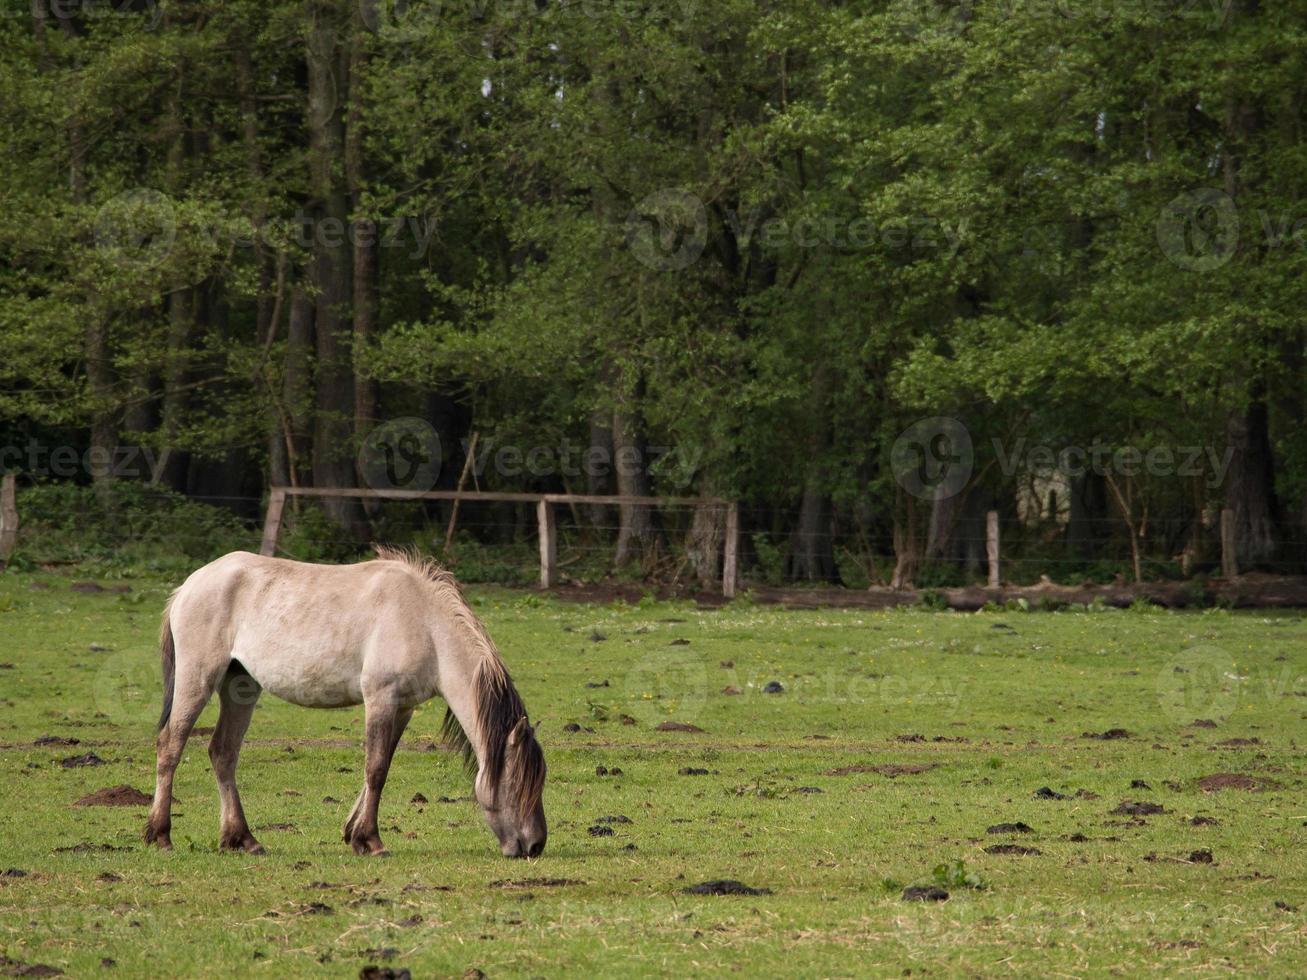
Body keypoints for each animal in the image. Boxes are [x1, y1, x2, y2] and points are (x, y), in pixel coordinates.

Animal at [143, 554, 546, 857]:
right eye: (519, 782)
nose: (535, 845)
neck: (426, 623)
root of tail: (187, 587)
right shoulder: (381, 698)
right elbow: (376, 769)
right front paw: (372, 841)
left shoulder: (402, 707)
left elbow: (380, 767)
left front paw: (354, 833)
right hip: (198, 678)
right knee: (171, 745)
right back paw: (160, 834)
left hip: (240, 685)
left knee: (223, 752)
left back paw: (242, 839)